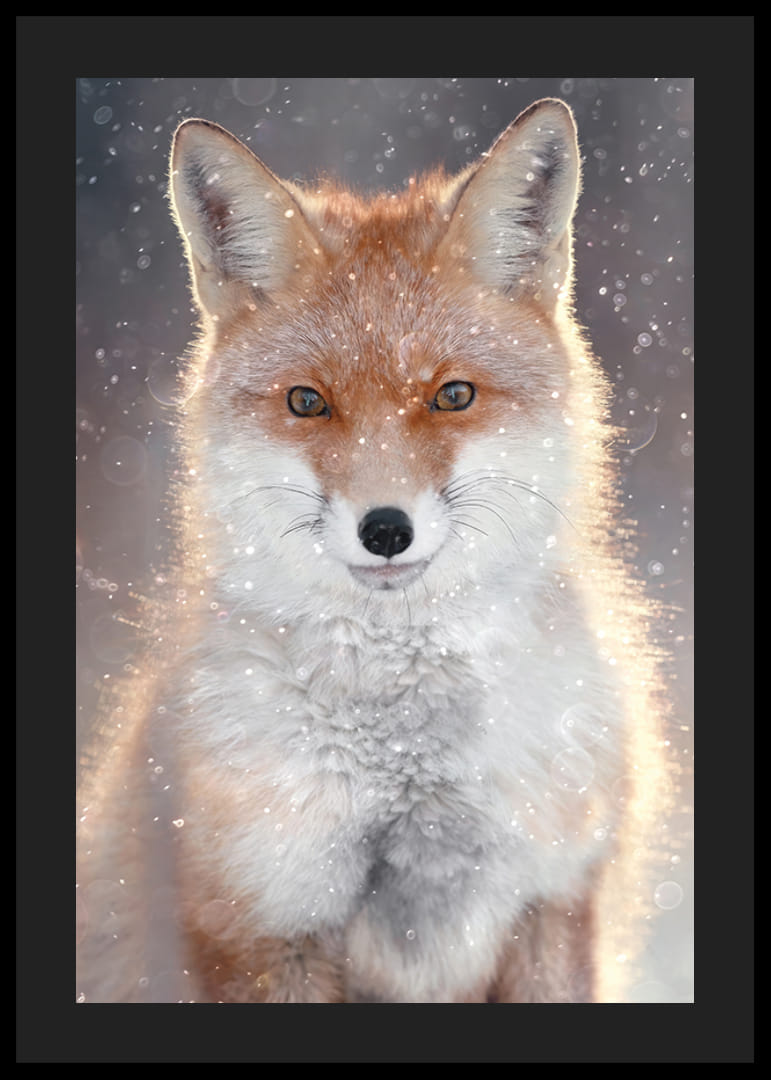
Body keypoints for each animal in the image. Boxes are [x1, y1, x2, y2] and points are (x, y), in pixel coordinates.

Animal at [76, 98, 672, 1004]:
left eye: (452, 394)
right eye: (306, 402)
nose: (385, 530)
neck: (406, 762)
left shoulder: (554, 901)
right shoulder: (262, 920)